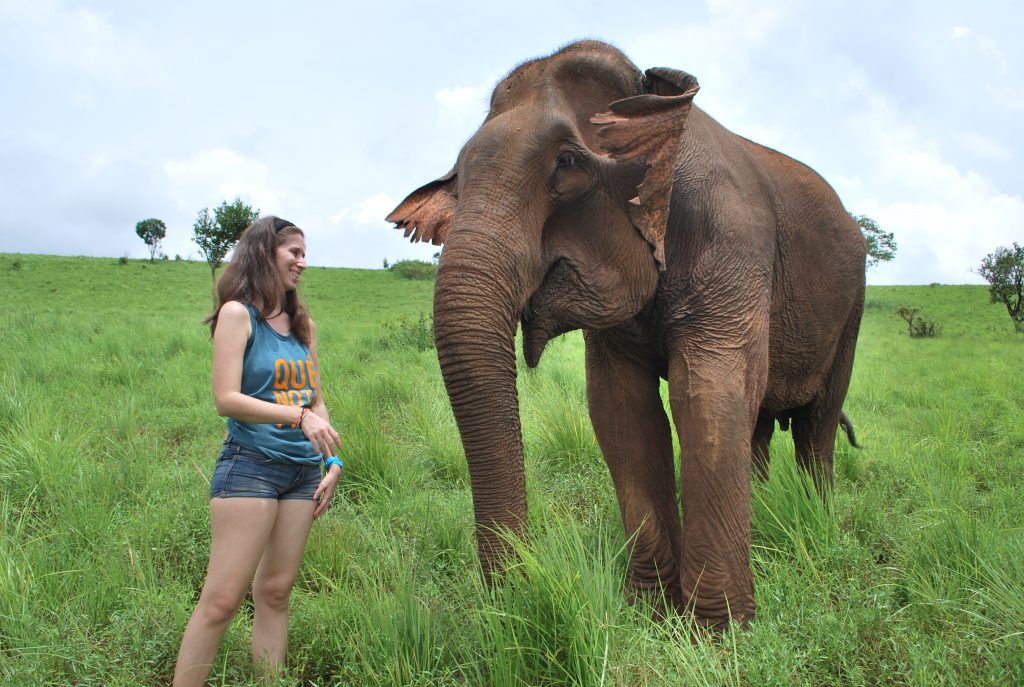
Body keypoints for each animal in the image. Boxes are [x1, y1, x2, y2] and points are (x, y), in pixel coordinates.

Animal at [385, 38, 864, 630]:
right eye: (457, 177)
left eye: (567, 164)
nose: (523, 586)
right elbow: (620, 410)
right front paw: (651, 614)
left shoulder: (733, 242)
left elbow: (708, 396)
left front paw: (717, 632)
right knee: (758, 429)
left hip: (853, 308)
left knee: (816, 427)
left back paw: (816, 519)